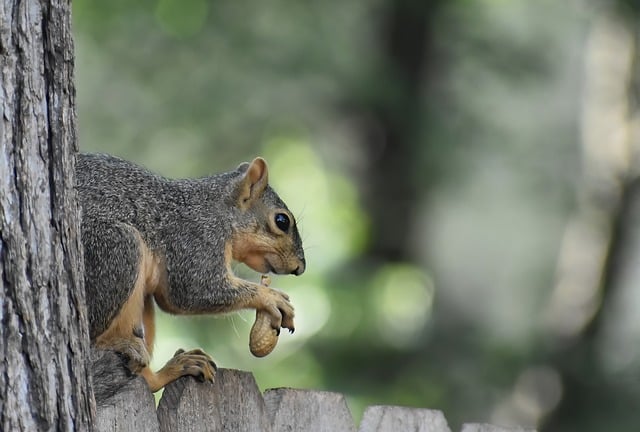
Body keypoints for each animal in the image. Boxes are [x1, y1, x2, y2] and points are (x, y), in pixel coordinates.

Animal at [75, 154, 304, 404]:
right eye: (282, 221)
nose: (300, 268)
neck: (219, 210)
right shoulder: (195, 240)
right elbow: (195, 290)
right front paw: (270, 297)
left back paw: (172, 369)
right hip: (115, 250)